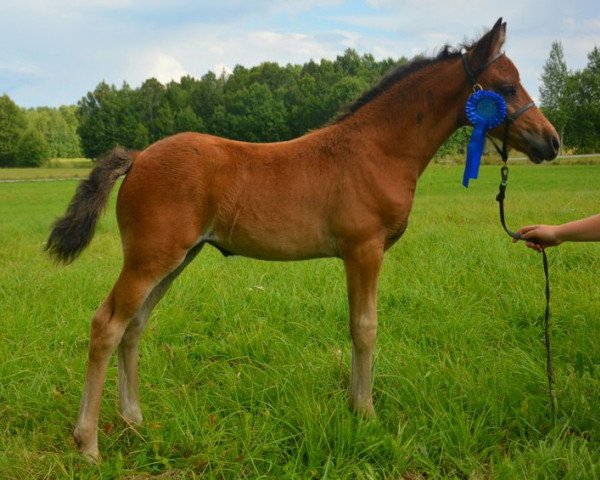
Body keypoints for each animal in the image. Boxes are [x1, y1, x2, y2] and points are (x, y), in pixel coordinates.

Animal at [45, 19, 556, 462]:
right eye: (506, 88)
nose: (551, 142)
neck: (377, 150)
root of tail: (137, 157)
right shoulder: (364, 250)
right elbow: (365, 328)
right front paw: (365, 412)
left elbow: (356, 326)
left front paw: (354, 405)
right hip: (151, 258)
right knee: (106, 324)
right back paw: (88, 443)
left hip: (176, 259)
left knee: (134, 327)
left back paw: (133, 421)